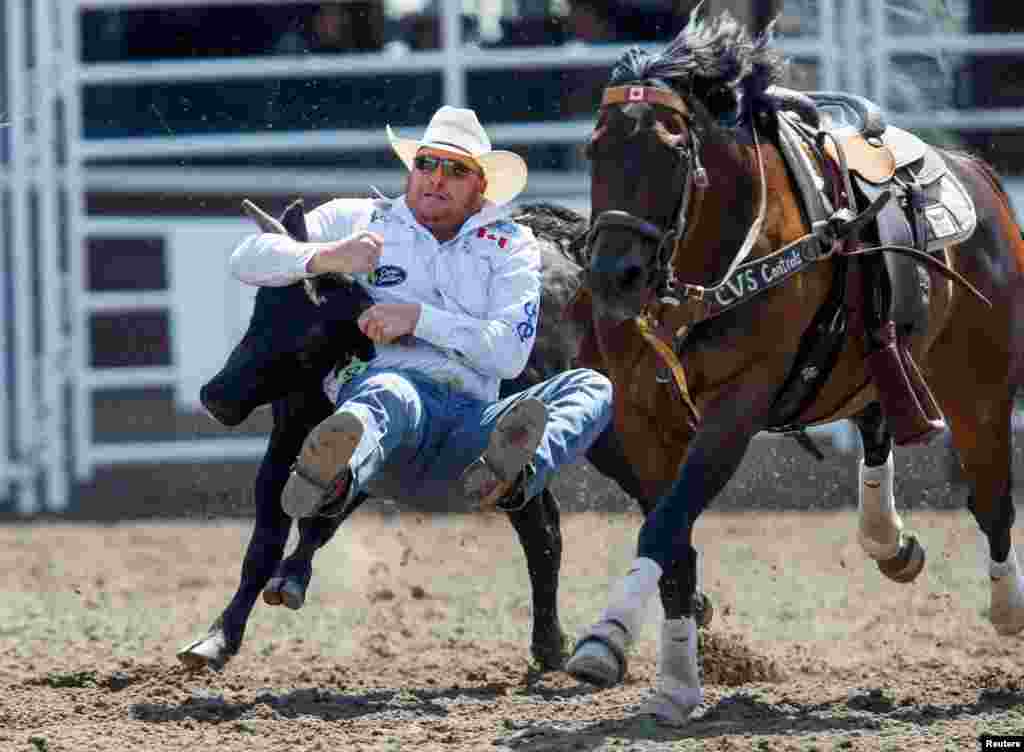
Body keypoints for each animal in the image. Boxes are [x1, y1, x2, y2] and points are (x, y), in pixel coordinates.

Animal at [176, 197, 704, 676]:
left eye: (308, 334)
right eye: (260, 309)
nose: (216, 397)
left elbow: (322, 518)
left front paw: (291, 578)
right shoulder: (285, 445)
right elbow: (264, 542)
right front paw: (217, 638)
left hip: (615, 434)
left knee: (612, 508)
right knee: (545, 529)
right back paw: (556, 641)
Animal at [565, 8, 1024, 729]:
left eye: (673, 150)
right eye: (594, 149)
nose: (614, 276)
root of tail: (974, 173)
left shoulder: (736, 410)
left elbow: (666, 524)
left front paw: (605, 638)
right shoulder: (643, 416)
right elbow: (673, 544)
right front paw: (676, 684)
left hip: (980, 388)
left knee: (992, 500)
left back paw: (1006, 610)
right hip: (876, 360)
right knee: (879, 425)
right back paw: (889, 541)